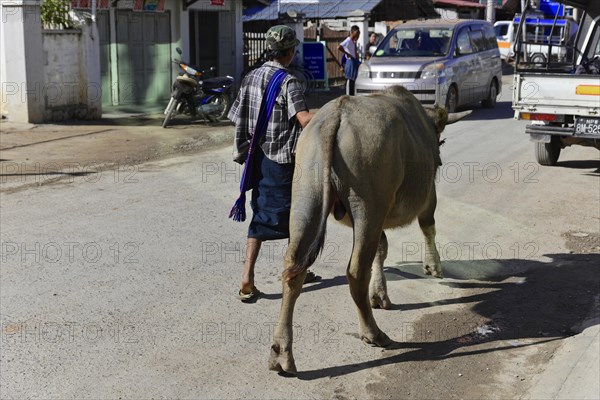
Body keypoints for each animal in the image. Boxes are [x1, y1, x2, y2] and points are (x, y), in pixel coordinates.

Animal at [270, 85, 472, 376]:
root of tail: (336, 114)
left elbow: (382, 248)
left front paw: (380, 295)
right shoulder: (427, 196)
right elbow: (427, 227)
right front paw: (433, 266)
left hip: (306, 193)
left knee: (293, 269)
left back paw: (281, 354)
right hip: (368, 205)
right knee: (356, 271)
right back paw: (373, 333)